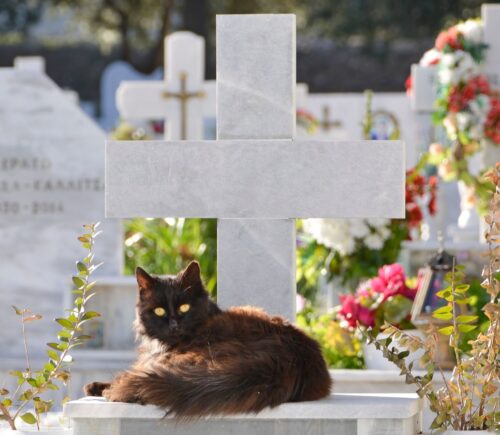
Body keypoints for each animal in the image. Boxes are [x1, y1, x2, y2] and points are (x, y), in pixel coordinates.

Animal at [83, 260, 330, 418]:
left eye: (184, 307)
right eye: (159, 311)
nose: (174, 325)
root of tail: (284, 361)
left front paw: (100, 387)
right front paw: (94, 386)